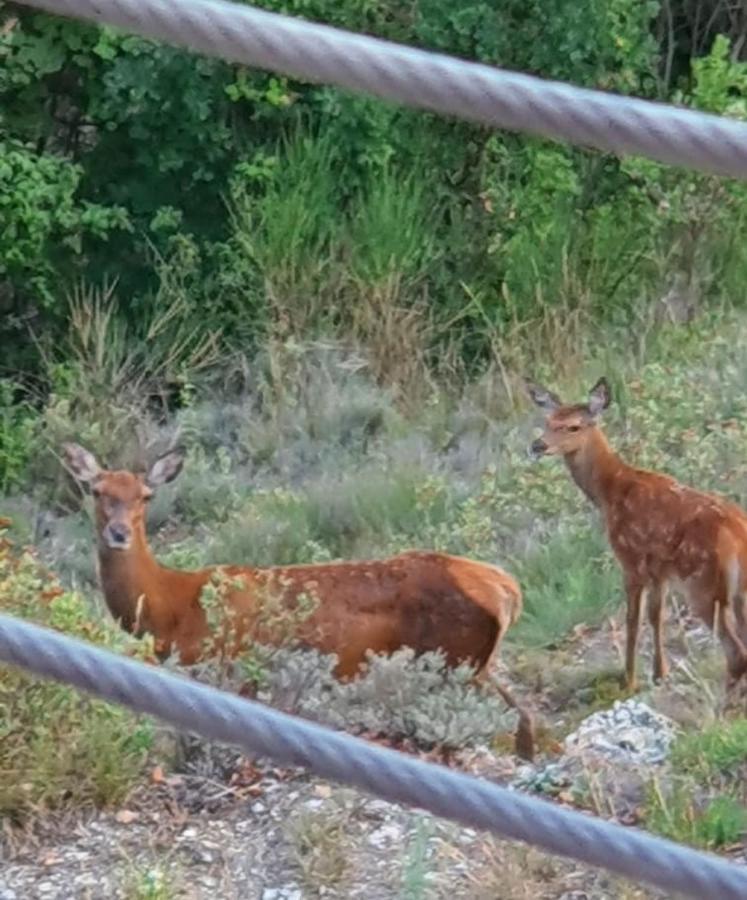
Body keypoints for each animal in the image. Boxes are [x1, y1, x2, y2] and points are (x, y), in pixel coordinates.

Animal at [61, 440, 536, 756]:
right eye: (97, 491)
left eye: (145, 496)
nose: (119, 533)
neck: (169, 608)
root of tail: (505, 588)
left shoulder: (217, 662)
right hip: (477, 662)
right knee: (525, 713)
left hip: (455, 661)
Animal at [524, 376, 747, 692]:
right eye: (547, 421)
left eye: (573, 426)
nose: (537, 445)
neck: (610, 492)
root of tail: (738, 537)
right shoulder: (659, 570)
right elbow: (656, 615)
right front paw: (659, 673)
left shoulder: (630, 559)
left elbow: (633, 619)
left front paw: (629, 680)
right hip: (738, 591)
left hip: (704, 584)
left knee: (736, 652)